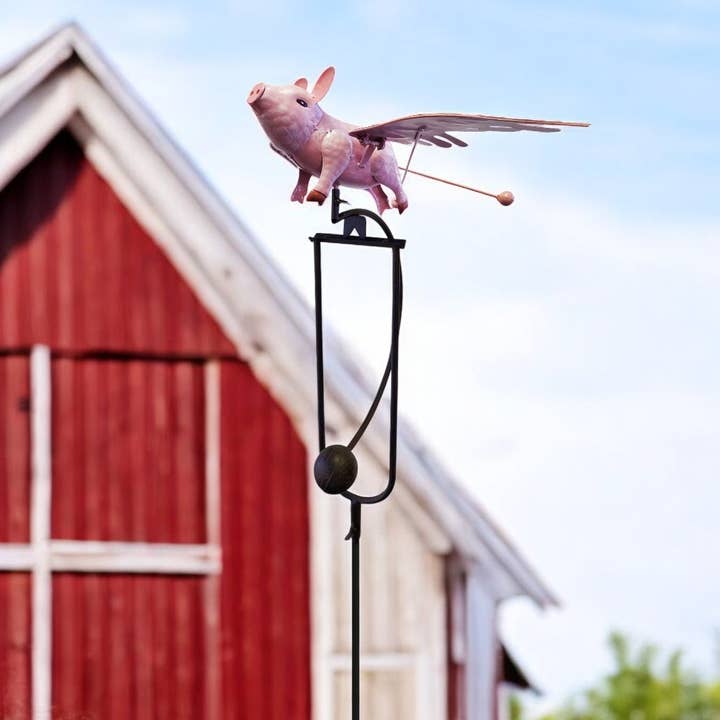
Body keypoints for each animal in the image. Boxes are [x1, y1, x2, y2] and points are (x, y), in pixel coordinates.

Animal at [247, 67, 408, 214]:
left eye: (302, 102)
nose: (257, 87)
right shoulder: (303, 166)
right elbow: (302, 179)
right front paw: (295, 199)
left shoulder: (338, 146)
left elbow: (329, 172)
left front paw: (314, 197)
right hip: (372, 181)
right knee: (378, 190)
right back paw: (385, 210)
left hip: (386, 168)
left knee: (397, 187)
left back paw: (401, 206)